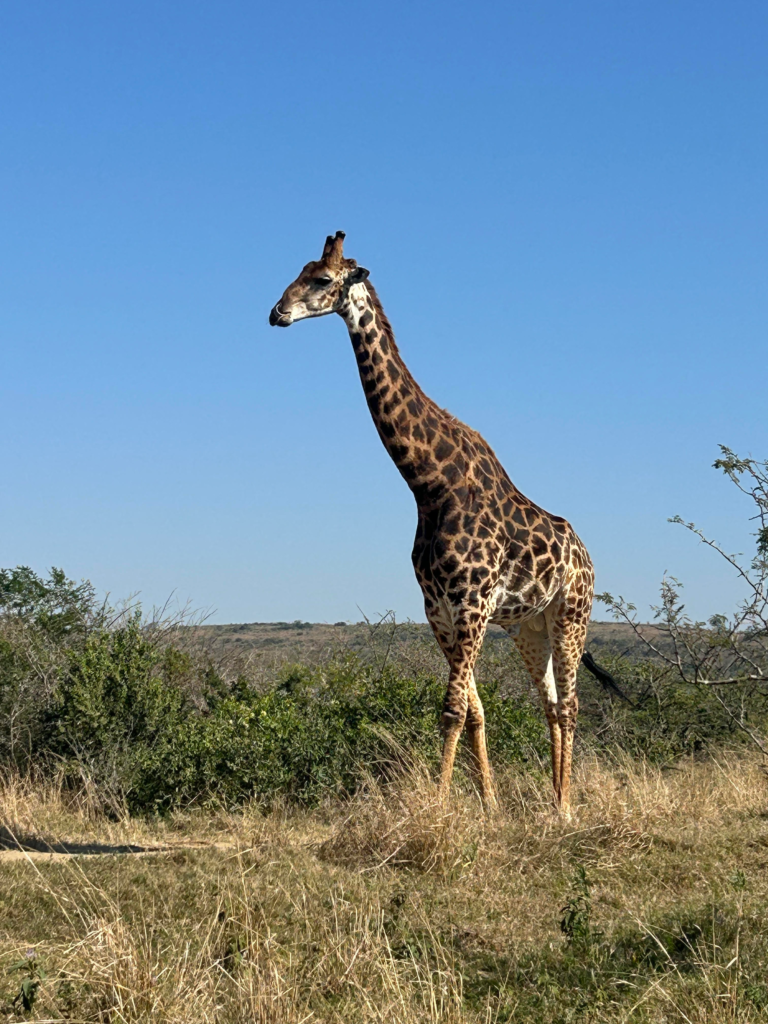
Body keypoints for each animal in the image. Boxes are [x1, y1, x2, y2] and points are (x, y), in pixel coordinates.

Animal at [269, 231, 595, 814]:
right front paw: (489, 806)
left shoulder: (471, 603)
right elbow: (475, 709)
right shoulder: (438, 608)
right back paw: (555, 801)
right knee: (552, 703)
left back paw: (564, 807)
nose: (275, 313)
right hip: (529, 626)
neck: (428, 484)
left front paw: (441, 808)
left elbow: (453, 709)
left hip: (571, 616)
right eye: (298, 271)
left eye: (322, 279)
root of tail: (589, 557)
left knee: (573, 704)